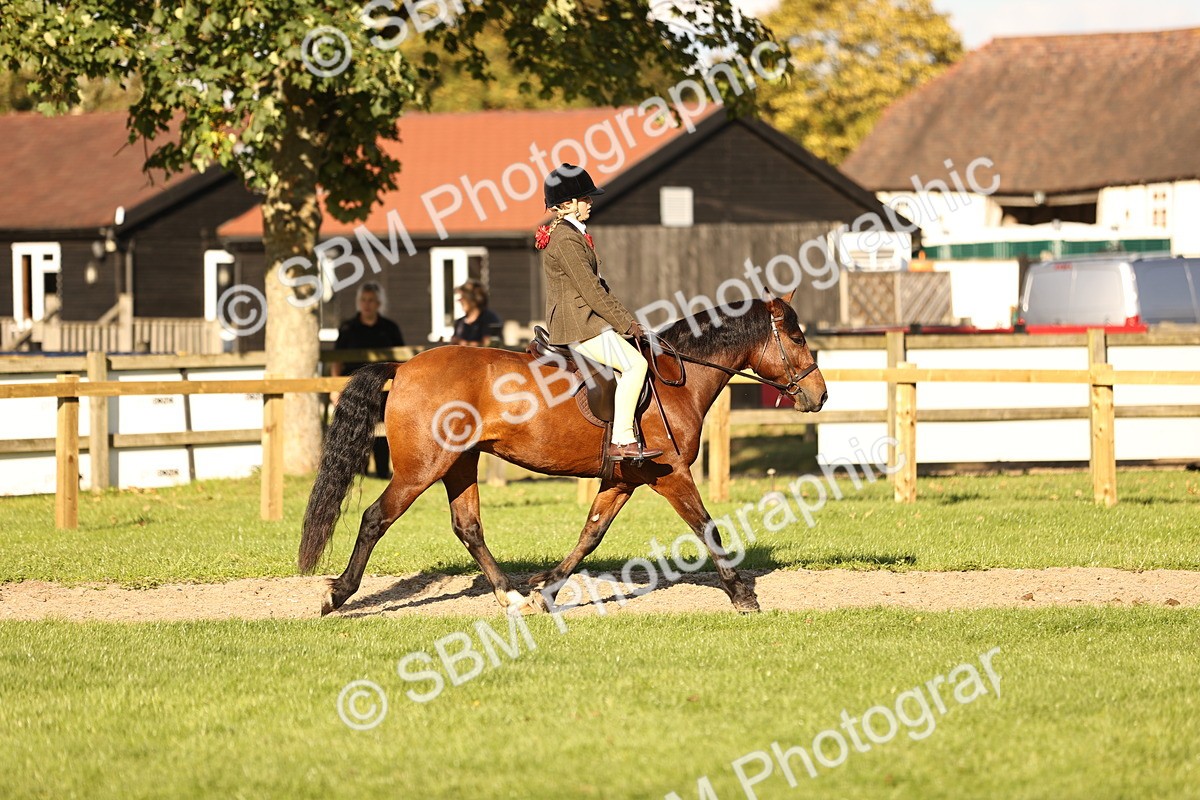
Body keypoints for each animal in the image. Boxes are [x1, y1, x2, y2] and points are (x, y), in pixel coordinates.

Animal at [299, 291, 827, 615]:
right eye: (797, 337)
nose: (819, 395)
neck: (677, 380)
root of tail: (405, 366)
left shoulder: (624, 478)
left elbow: (590, 534)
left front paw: (546, 588)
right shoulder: (671, 474)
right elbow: (707, 528)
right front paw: (741, 594)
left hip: (459, 464)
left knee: (467, 527)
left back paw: (510, 596)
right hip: (421, 468)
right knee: (375, 518)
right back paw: (337, 595)